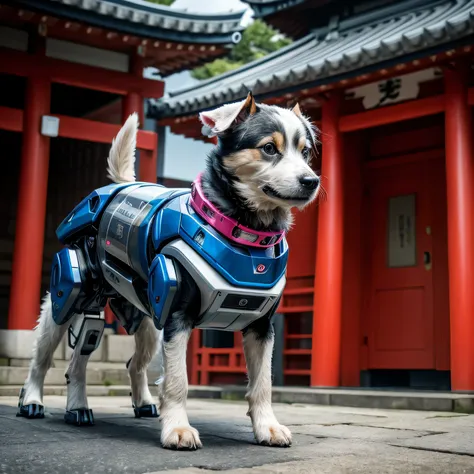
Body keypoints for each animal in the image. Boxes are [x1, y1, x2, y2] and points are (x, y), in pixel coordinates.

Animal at [20, 93, 320, 452]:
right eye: (269, 148)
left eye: (305, 152)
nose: (312, 181)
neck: (243, 233)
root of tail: (121, 186)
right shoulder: (178, 316)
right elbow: (178, 380)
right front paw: (177, 429)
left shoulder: (260, 326)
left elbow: (262, 383)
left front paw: (267, 428)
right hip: (71, 293)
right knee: (45, 353)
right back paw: (33, 400)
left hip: (146, 318)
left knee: (108, 359)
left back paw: (91, 406)